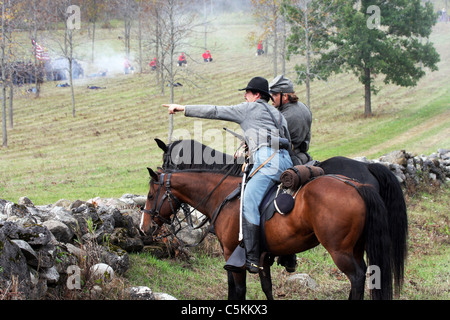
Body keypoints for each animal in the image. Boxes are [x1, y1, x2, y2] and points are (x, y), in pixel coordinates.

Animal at [139, 140, 402, 300]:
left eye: (151, 195)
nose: (144, 228)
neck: (225, 193)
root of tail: (357, 185)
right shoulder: (262, 257)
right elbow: (267, 289)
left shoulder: (233, 255)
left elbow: (237, 290)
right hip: (357, 247)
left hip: (341, 252)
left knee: (357, 277)